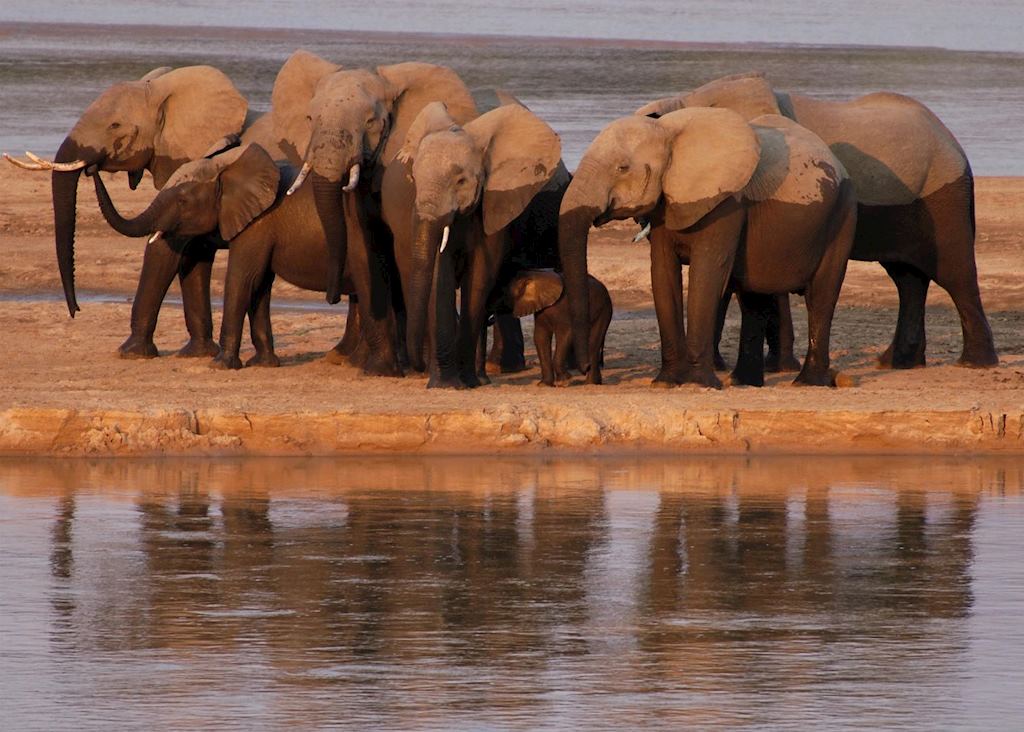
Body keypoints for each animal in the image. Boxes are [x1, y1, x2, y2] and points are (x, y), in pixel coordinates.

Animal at [5, 67, 249, 360]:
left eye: (114, 125)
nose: (76, 311)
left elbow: (166, 247)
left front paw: (131, 352)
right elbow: (193, 253)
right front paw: (197, 353)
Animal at [272, 50, 479, 378]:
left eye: (370, 122)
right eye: (309, 118)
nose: (331, 298)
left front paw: (411, 368)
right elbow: (362, 245)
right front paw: (379, 370)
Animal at [380, 101, 565, 389]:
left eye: (461, 181)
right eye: (414, 179)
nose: (418, 367)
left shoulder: (493, 204)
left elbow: (479, 275)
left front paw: (466, 382)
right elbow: (439, 276)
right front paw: (444, 385)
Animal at [561, 109, 856, 389]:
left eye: (622, 168)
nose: (586, 368)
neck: (667, 131)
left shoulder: (726, 204)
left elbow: (706, 274)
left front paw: (696, 383)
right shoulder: (666, 203)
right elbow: (663, 274)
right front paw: (665, 382)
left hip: (842, 214)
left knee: (821, 295)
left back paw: (806, 382)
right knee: (754, 298)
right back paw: (744, 382)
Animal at [634, 72, 995, 368]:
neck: (687, 101)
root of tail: (954, 143)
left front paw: (766, 368)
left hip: (943, 196)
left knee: (954, 272)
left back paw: (974, 362)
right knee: (908, 278)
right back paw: (897, 363)